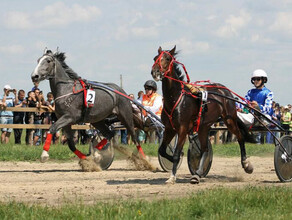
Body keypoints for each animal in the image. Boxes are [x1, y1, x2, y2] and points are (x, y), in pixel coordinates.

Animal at [151, 45, 253, 183]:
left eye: (167, 58)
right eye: (155, 58)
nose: (155, 72)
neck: (176, 98)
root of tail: (224, 90)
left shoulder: (182, 128)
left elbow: (177, 153)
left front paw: (172, 176)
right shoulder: (169, 128)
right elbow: (162, 150)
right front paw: (174, 161)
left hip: (229, 120)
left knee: (240, 137)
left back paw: (246, 164)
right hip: (203, 127)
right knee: (204, 149)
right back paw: (197, 174)